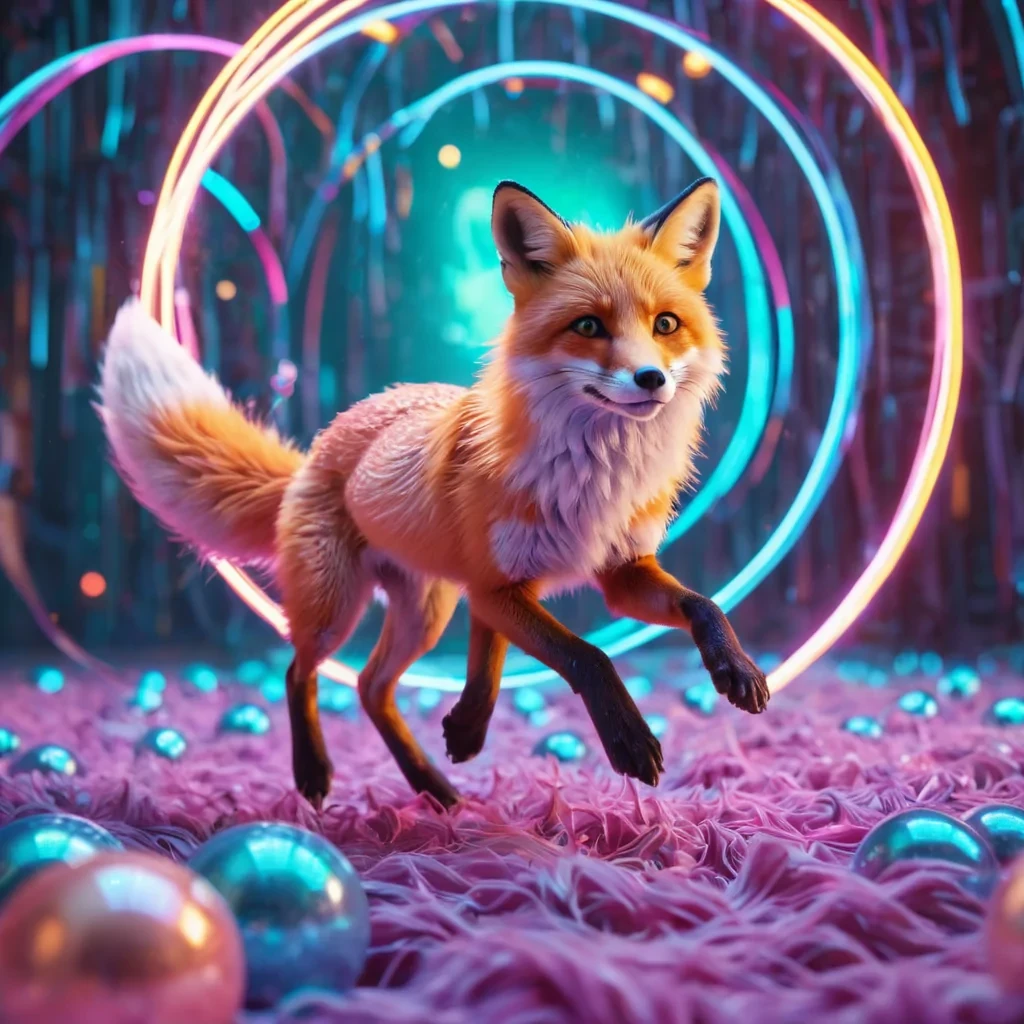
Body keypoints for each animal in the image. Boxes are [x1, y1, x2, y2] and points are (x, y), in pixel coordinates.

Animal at [98, 176, 769, 809]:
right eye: (588, 326)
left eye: (665, 324)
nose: (650, 378)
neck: (595, 472)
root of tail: (317, 449)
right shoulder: (498, 583)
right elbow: (586, 657)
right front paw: (627, 738)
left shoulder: (616, 572)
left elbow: (701, 605)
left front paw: (735, 667)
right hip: (336, 607)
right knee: (298, 672)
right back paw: (314, 770)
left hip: (425, 610)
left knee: (370, 687)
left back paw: (433, 787)